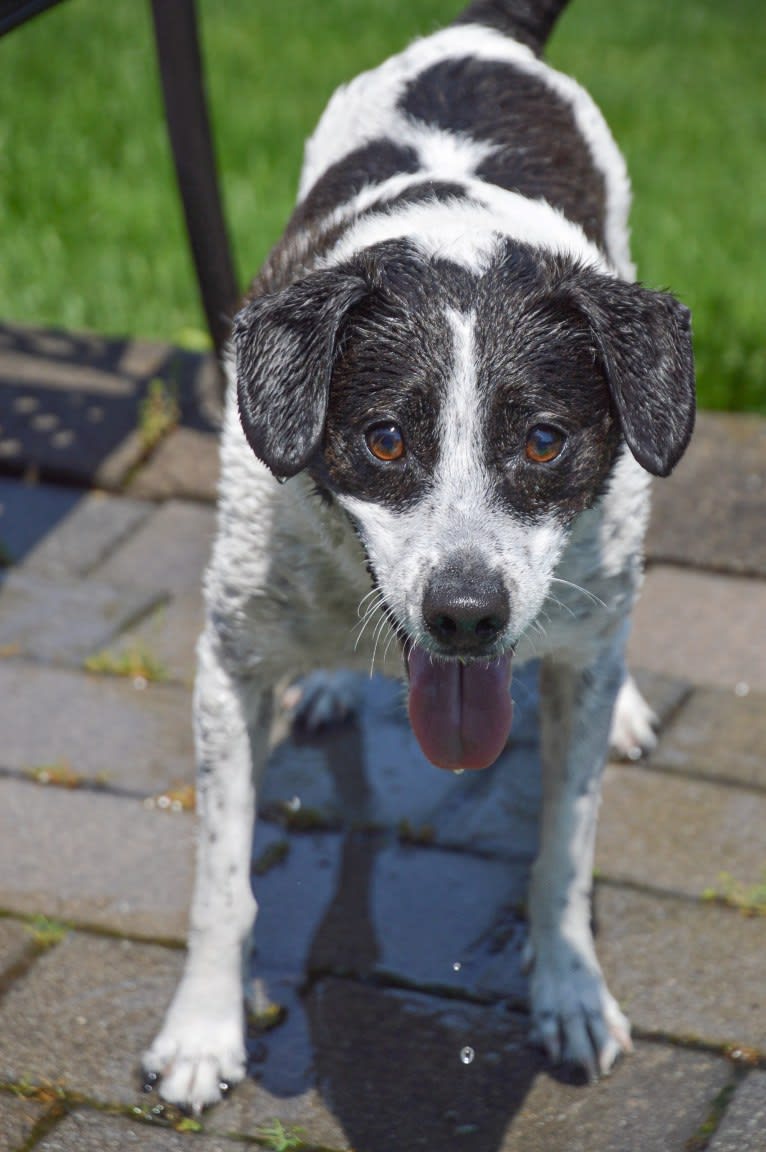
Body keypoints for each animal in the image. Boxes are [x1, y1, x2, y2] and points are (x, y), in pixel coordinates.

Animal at [141, 2, 691, 1115]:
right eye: (386, 439)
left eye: (544, 441)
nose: (466, 615)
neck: (456, 243)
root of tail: (483, 33)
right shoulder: (228, 664)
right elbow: (222, 878)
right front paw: (204, 1029)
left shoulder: (570, 645)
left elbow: (565, 852)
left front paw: (569, 990)